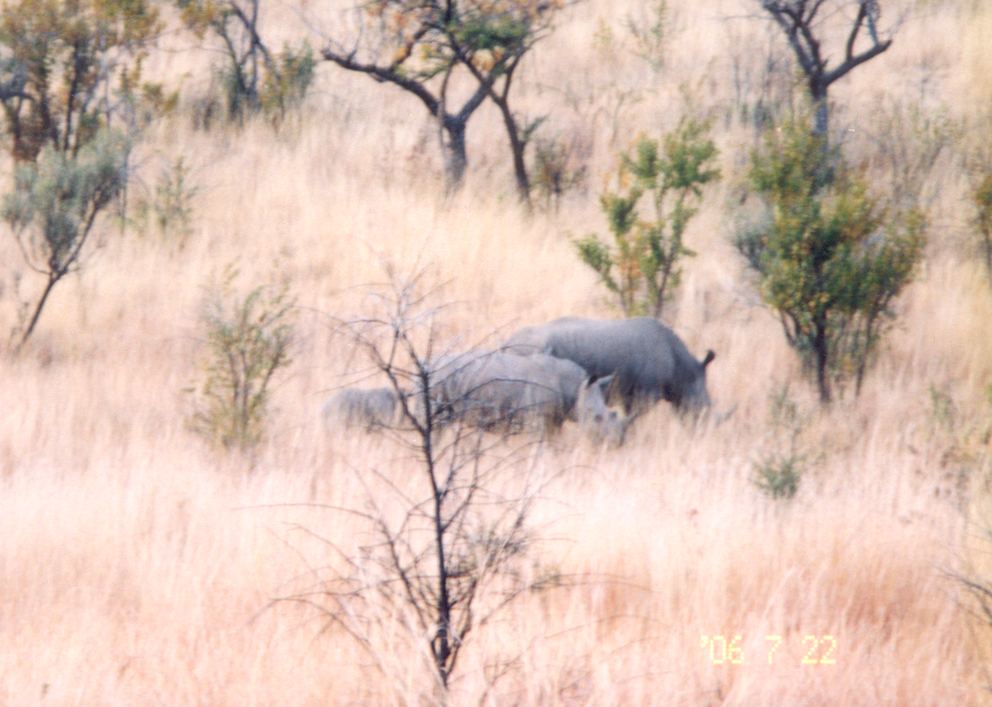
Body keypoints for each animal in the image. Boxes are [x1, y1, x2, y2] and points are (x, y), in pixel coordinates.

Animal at [433, 350, 625, 444]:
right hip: (442, 380)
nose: (616, 443)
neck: (576, 387)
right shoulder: (537, 420)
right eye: (597, 417)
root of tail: (433, 363)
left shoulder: (554, 421)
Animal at [504, 317, 715, 416]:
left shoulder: (633, 392)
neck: (682, 369)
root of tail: (507, 343)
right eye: (703, 407)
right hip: (529, 349)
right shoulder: (647, 392)